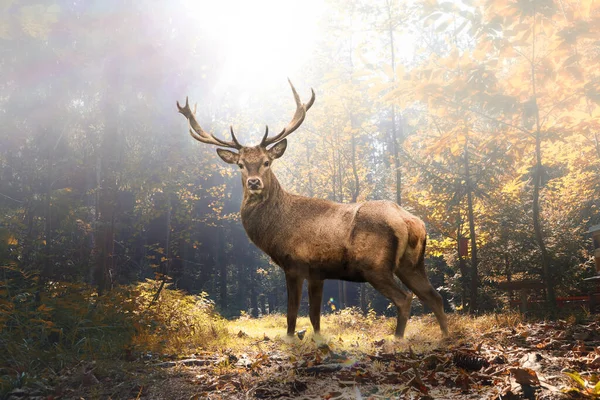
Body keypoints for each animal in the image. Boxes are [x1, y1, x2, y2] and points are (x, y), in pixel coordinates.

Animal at [176, 80, 448, 338]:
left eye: (266, 162)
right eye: (241, 164)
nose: (254, 182)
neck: (275, 228)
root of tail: (410, 222)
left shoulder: (294, 263)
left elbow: (292, 313)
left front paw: (290, 339)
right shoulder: (318, 272)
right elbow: (315, 316)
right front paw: (317, 340)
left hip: (375, 265)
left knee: (405, 299)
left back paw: (398, 339)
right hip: (412, 264)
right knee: (435, 296)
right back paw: (445, 336)